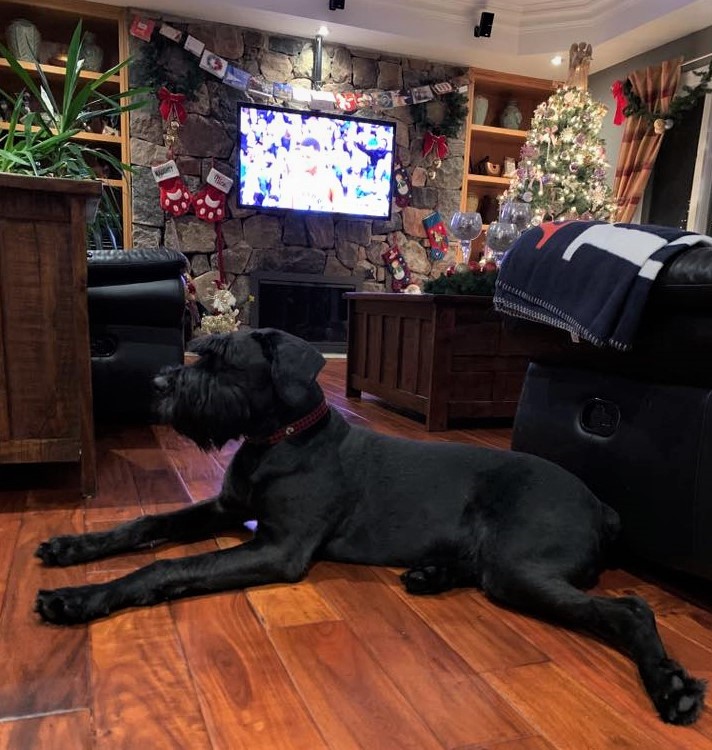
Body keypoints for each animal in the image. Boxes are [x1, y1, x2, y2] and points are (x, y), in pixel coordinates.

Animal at [35, 328, 706, 724]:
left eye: (223, 363)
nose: (157, 383)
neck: (280, 438)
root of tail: (601, 505)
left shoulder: (276, 549)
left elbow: (167, 565)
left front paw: (79, 598)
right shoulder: (225, 510)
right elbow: (146, 523)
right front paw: (74, 546)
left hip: (519, 566)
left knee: (629, 610)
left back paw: (671, 687)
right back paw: (431, 574)